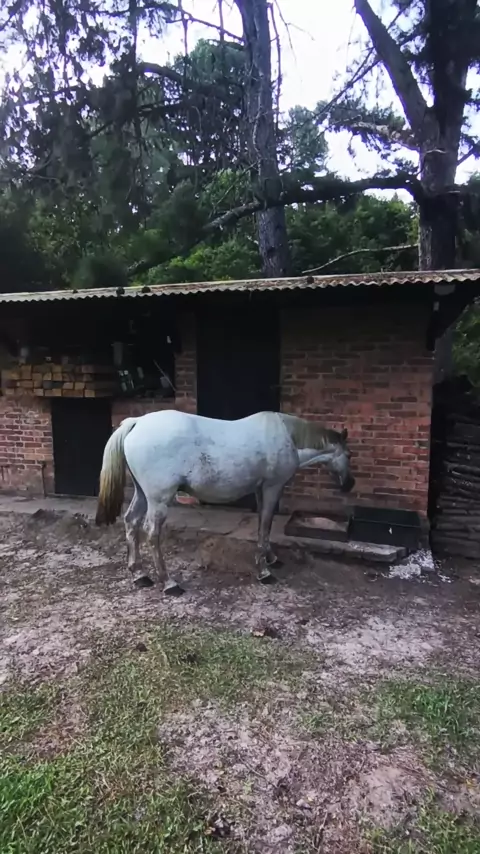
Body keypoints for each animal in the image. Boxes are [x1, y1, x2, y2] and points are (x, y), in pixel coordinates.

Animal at [95, 409, 355, 594]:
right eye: (349, 455)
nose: (349, 485)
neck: (287, 436)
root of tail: (137, 422)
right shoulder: (272, 488)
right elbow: (265, 525)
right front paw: (264, 571)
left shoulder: (260, 489)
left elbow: (263, 525)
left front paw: (270, 558)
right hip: (159, 500)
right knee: (151, 533)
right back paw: (169, 583)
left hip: (142, 494)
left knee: (131, 522)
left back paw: (139, 574)